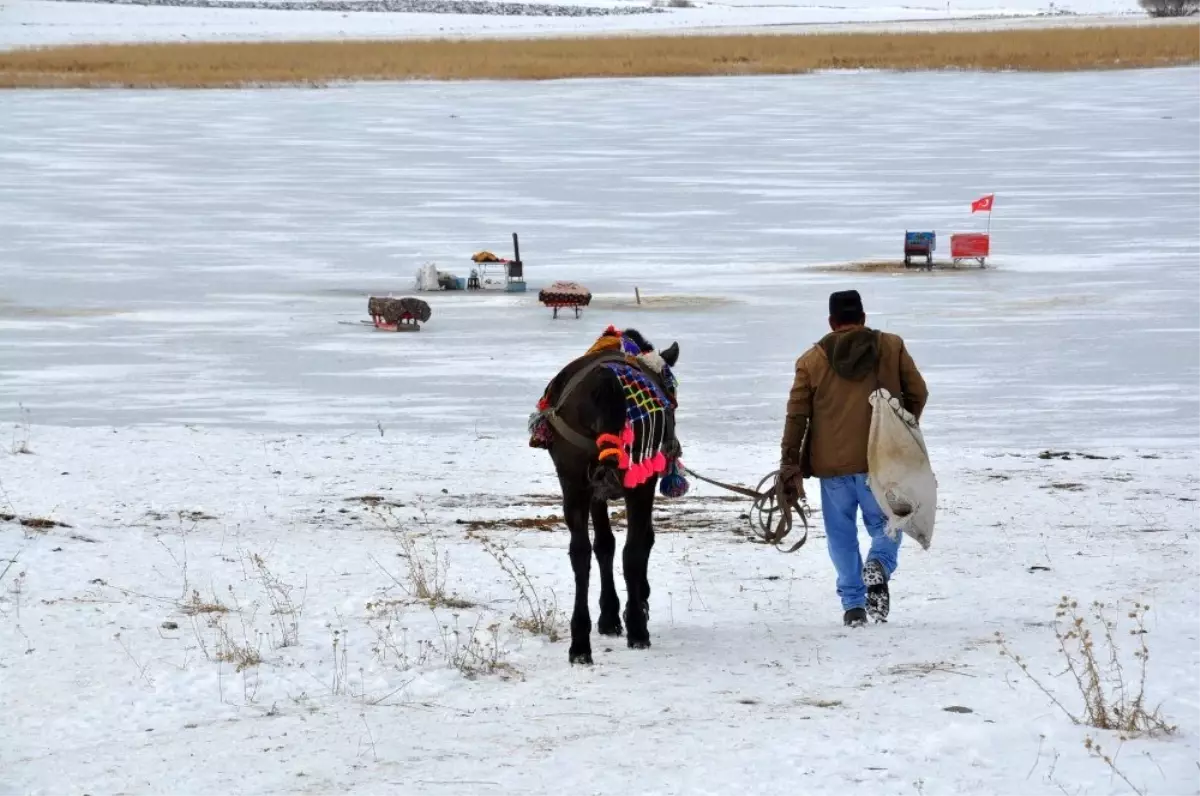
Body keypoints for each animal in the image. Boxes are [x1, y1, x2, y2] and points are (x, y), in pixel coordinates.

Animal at [532, 326, 691, 662]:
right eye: (672, 387)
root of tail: (605, 385)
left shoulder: (595, 490)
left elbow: (603, 545)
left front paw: (609, 616)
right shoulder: (640, 482)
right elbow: (638, 543)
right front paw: (631, 609)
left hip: (573, 480)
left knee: (580, 553)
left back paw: (580, 643)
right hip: (635, 480)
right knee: (634, 550)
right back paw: (637, 629)